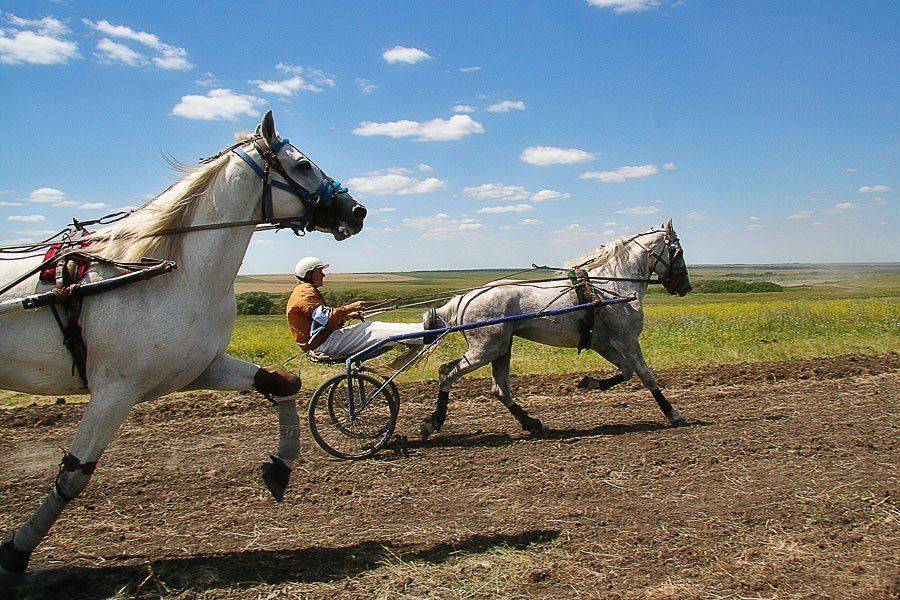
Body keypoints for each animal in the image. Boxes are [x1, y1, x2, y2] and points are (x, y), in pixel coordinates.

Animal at [0, 110, 366, 576]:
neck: (168, 269)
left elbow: (281, 383)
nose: (357, 210)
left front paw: (280, 466)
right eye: (302, 165)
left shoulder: (197, 367)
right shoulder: (115, 390)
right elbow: (74, 472)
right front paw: (17, 549)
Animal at [420, 221, 692, 438]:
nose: (686, 287)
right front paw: (673, 414)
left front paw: (589, 382)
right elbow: (646, 375)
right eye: (678, 251)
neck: (611, 287)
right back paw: (433, 422)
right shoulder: (627, 340)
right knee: (447, 373)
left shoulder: (604, 344)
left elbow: (626, 371)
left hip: (501, 348)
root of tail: (465, 298)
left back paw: (533, 423)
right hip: (485, 348)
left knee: (499, 389)